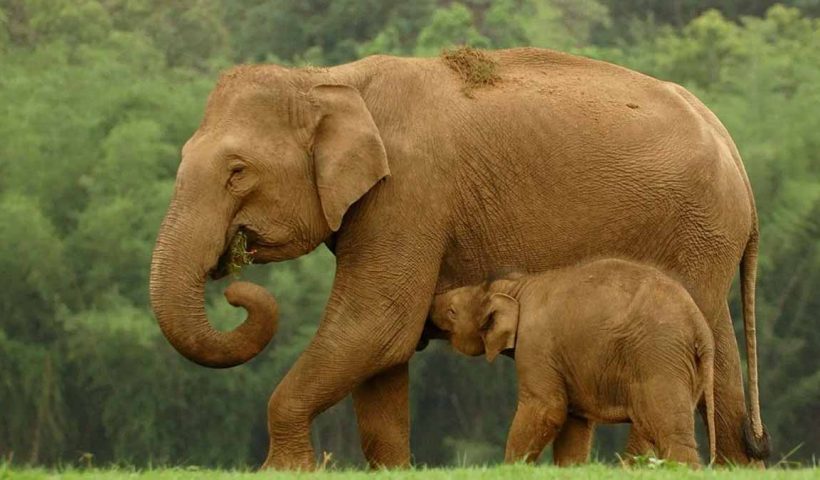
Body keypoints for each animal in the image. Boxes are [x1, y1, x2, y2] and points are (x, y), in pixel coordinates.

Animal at [427, 259, 716, 467]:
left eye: (452, 311)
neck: (515, 287)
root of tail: (700, 326)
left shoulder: (536, 346)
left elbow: (547, 409)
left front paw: (510, 469)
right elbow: (574, 425)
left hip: (659, 356)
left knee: (669, 430)